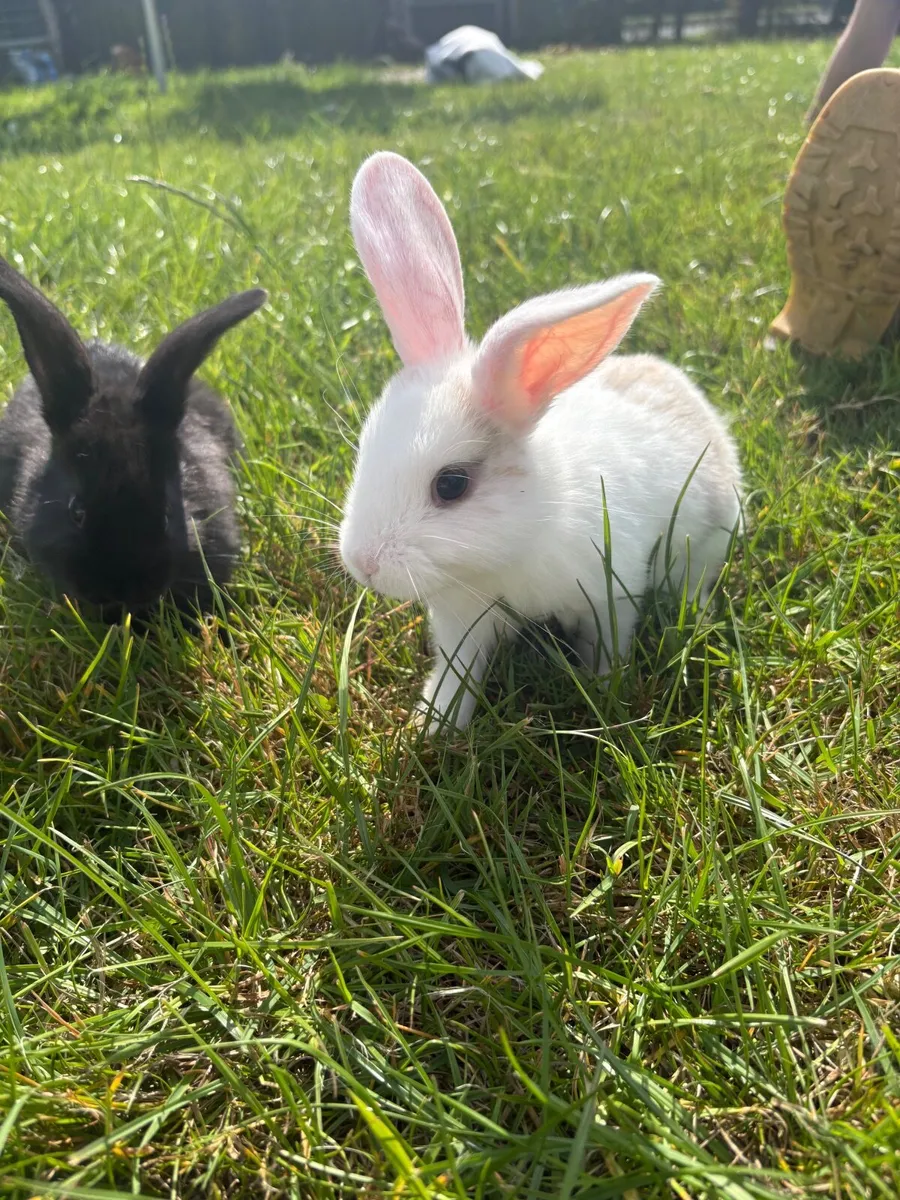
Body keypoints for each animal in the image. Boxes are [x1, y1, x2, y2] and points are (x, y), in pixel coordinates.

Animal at [339, 152, 742, 732]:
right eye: (364, 454)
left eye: (452, 484)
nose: (362, 563)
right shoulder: (462, 618)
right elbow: (459, 670)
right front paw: (435, 725)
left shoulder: (610, 592)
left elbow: (609, 643)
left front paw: (604, 694)